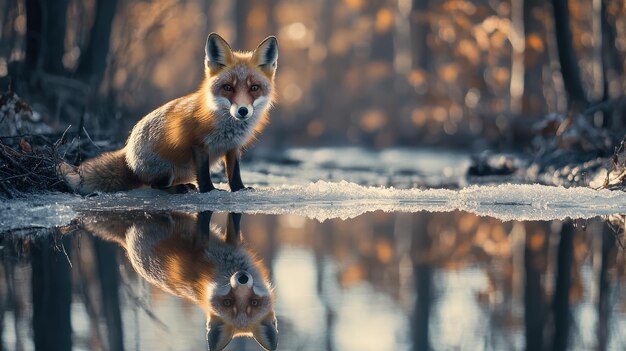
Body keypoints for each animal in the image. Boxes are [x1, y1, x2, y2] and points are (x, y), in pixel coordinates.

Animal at [58, 33, 278, 195]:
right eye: (228, 88)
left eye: (254, 88)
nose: (242, 111)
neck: (227, 126)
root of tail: (127, 153)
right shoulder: (197, 144)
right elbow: (204, 173)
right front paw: (209, 191)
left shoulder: (233, 147)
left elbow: (234, 173)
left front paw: (239, 189)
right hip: (167, 169)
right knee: (155, 186)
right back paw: (179, 188)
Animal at [81, 210, 276, 350]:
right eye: (228, 302)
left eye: (253, 302)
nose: (242, 278)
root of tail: (125, 241)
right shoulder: (214, 245)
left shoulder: (227, 244)